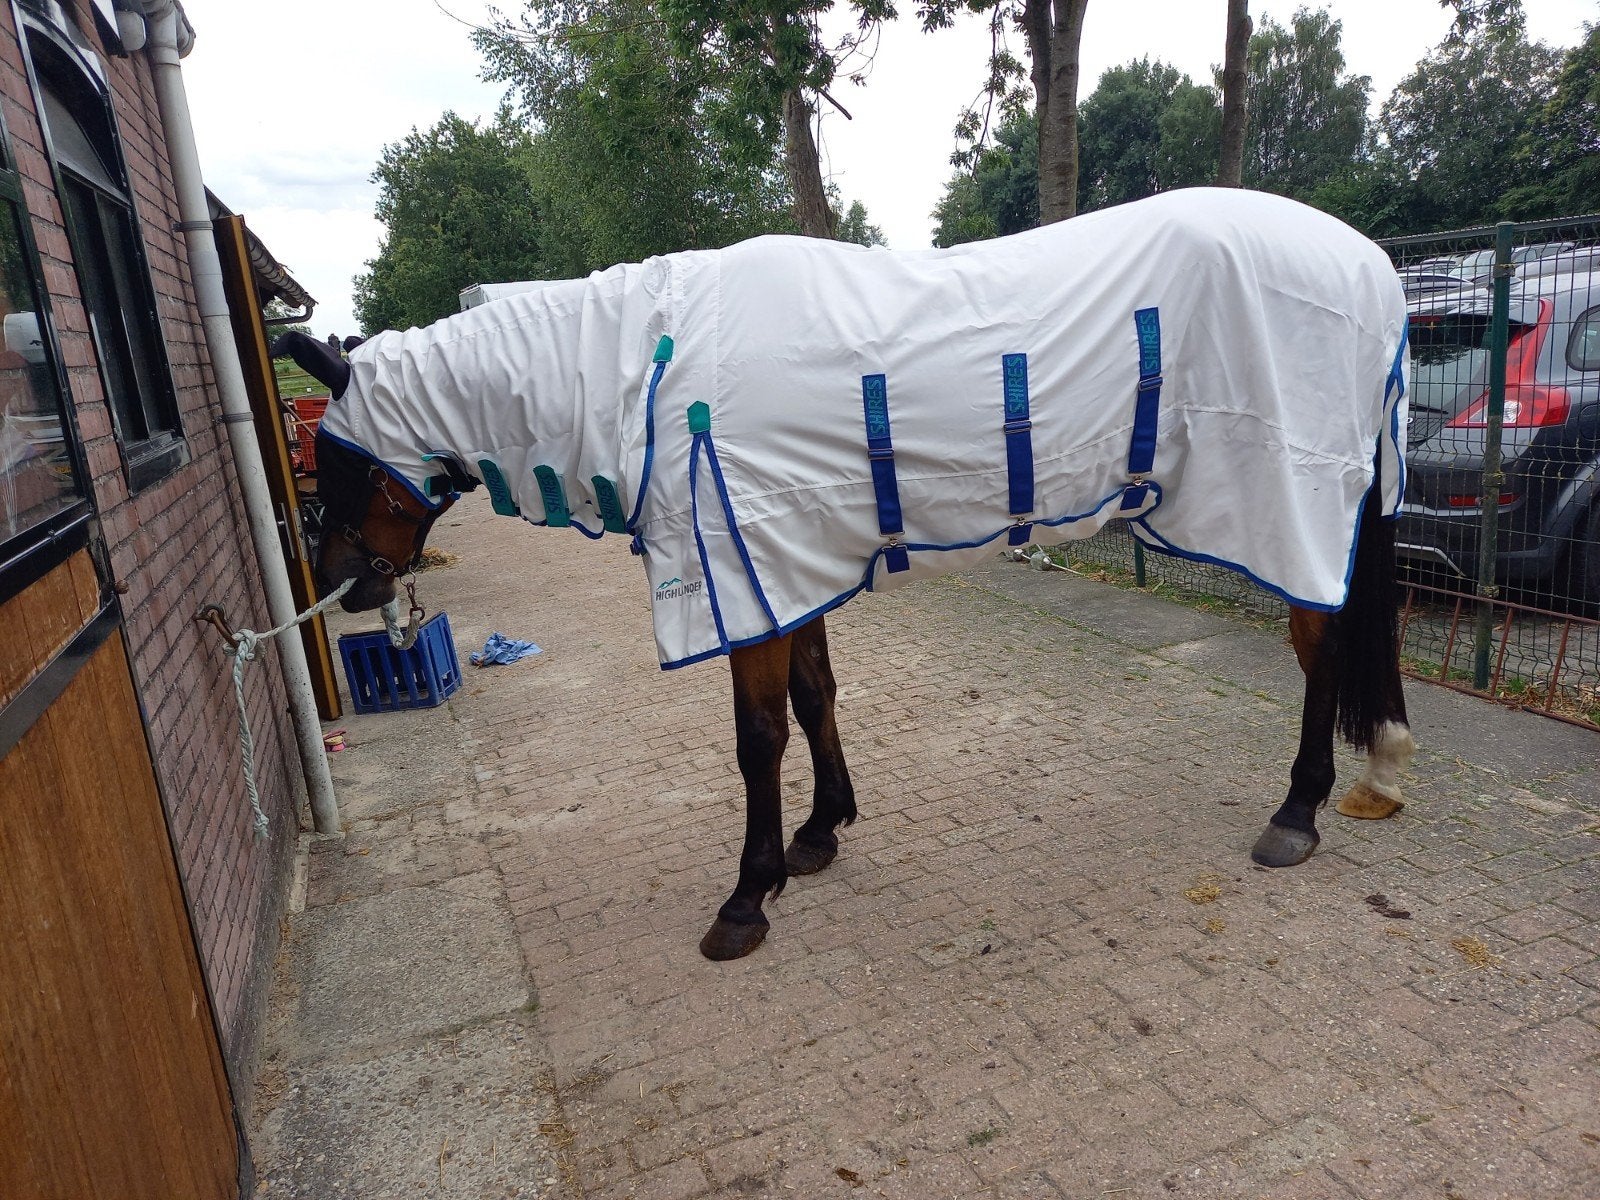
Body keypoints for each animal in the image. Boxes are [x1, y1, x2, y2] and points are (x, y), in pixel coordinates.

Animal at [277, 188, 1416, 961]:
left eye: (338, 459)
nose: (339, 585)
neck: (647, 368)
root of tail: (1371, 268)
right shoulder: (783, 560)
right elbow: (815, 699)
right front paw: (822, 832)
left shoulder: (743, 569)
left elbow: (757, 739)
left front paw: (748, 895)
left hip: (1291, 496)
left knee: (1318, 645)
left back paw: (1299, 811)